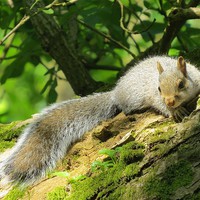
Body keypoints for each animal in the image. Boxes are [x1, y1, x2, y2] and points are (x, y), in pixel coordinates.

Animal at [0, 55, 199, 187]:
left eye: (181, 84)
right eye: (158, 88)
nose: (170, 101)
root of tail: (116, 92)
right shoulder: (155, 97)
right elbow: (161, 106)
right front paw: (174, 111)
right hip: (133, 99)